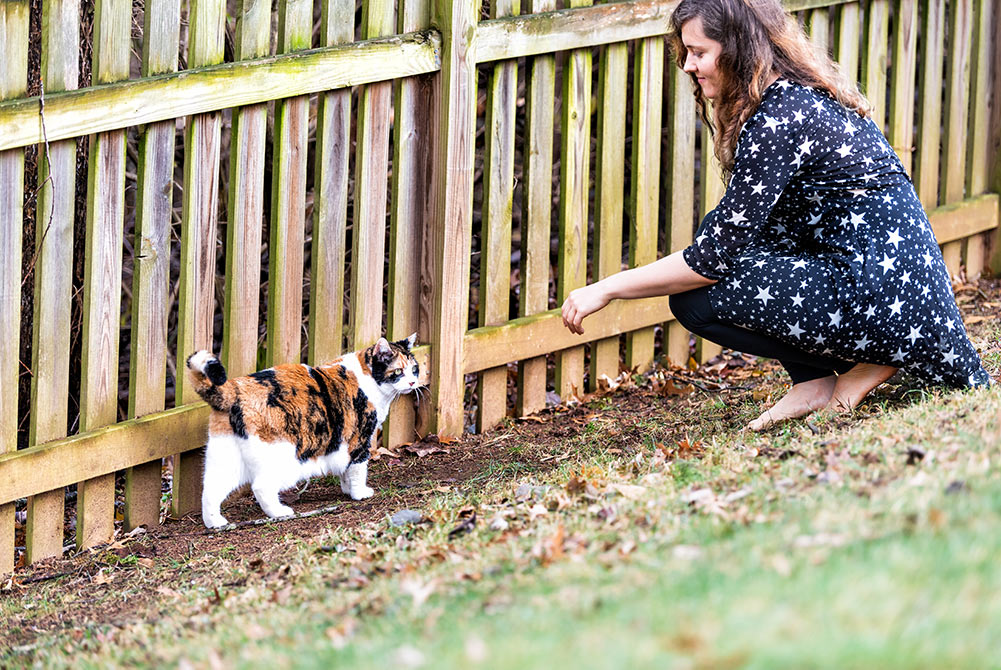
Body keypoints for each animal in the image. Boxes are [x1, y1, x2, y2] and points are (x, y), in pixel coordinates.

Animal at [186, 334, 416, 528]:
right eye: (398, 372)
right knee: (260, 487)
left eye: (414, 369)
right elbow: (358, 469)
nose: (413, 381)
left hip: (224, 460)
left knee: (210, 491)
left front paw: (347, 488)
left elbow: (346, 471)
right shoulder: (359, 440)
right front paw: (359, 493)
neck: (367, 378)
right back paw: (279, 512)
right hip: (279, 457)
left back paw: (215, 523)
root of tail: (234, 390)